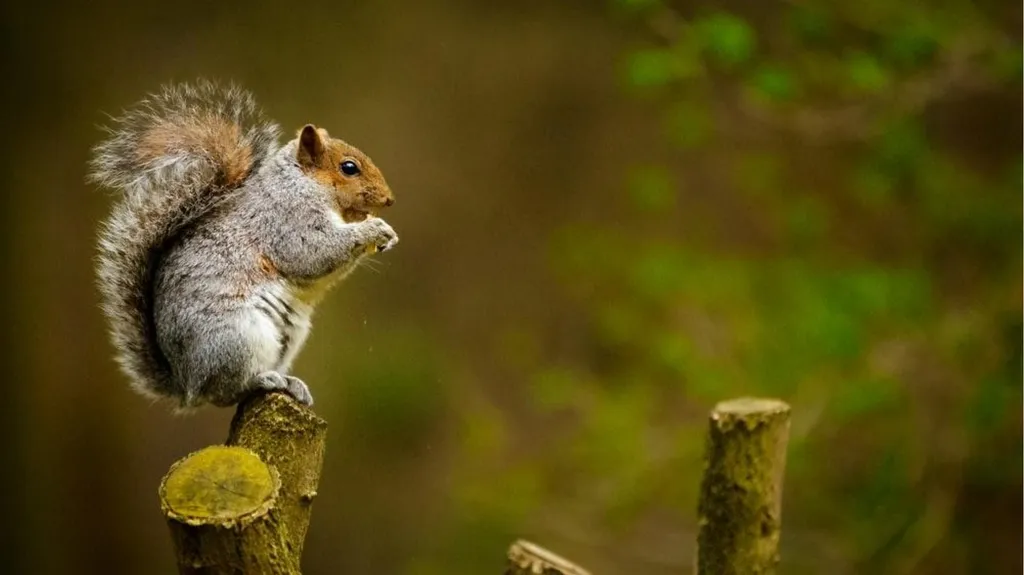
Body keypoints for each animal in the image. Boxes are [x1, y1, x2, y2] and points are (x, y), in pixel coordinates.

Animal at [89, 80, 399, 409]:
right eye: (349, 168)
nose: (389, 199)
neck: (302, 183)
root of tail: (186, 384)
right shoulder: (287, 221)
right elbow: (313, 253)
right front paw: (373, 229)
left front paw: (386, 235)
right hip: (237, 337)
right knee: (226, 392)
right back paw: (263, 380)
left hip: (288, 337)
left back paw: (291, 383)